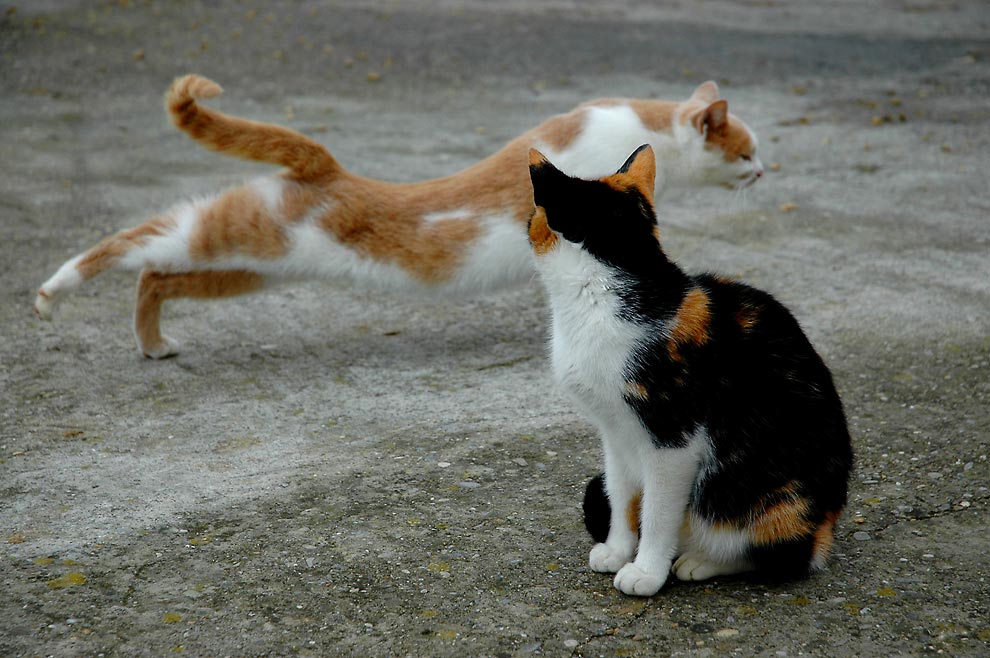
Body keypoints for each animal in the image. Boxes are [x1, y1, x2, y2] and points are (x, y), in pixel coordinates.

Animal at [35, 75, 764, 358]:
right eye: (747, 150)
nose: (765, 171)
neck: (642, 126)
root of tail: (327, 167)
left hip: (248, 268)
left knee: (154, 275)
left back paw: (154, 344)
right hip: (227, 236)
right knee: (131, 243)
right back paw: (52, 291)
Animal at [528, 146, 852, 596]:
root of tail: (828, 527)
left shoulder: (673, 438)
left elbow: (657, 510)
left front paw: (646, 571)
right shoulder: (614, 430)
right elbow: (621, 492)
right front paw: (617, 549)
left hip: (779, 502)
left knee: (783, 555)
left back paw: (701, 560)